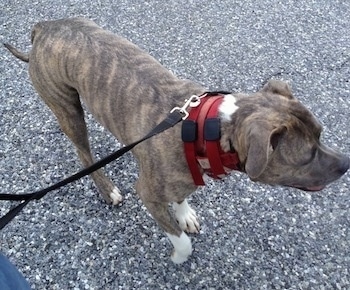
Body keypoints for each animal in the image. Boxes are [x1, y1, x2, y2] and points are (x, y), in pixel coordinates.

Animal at [4, 17, 348, 262]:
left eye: (321, 133)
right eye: (307, 156)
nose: (346, 163)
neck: (209, 127)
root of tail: (45, 27)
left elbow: (182, 197)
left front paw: (184, 214)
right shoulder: (148, 192)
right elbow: (180, 240)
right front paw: (179, 256)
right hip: (67, 107)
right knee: (83, 152)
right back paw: (107, 189)